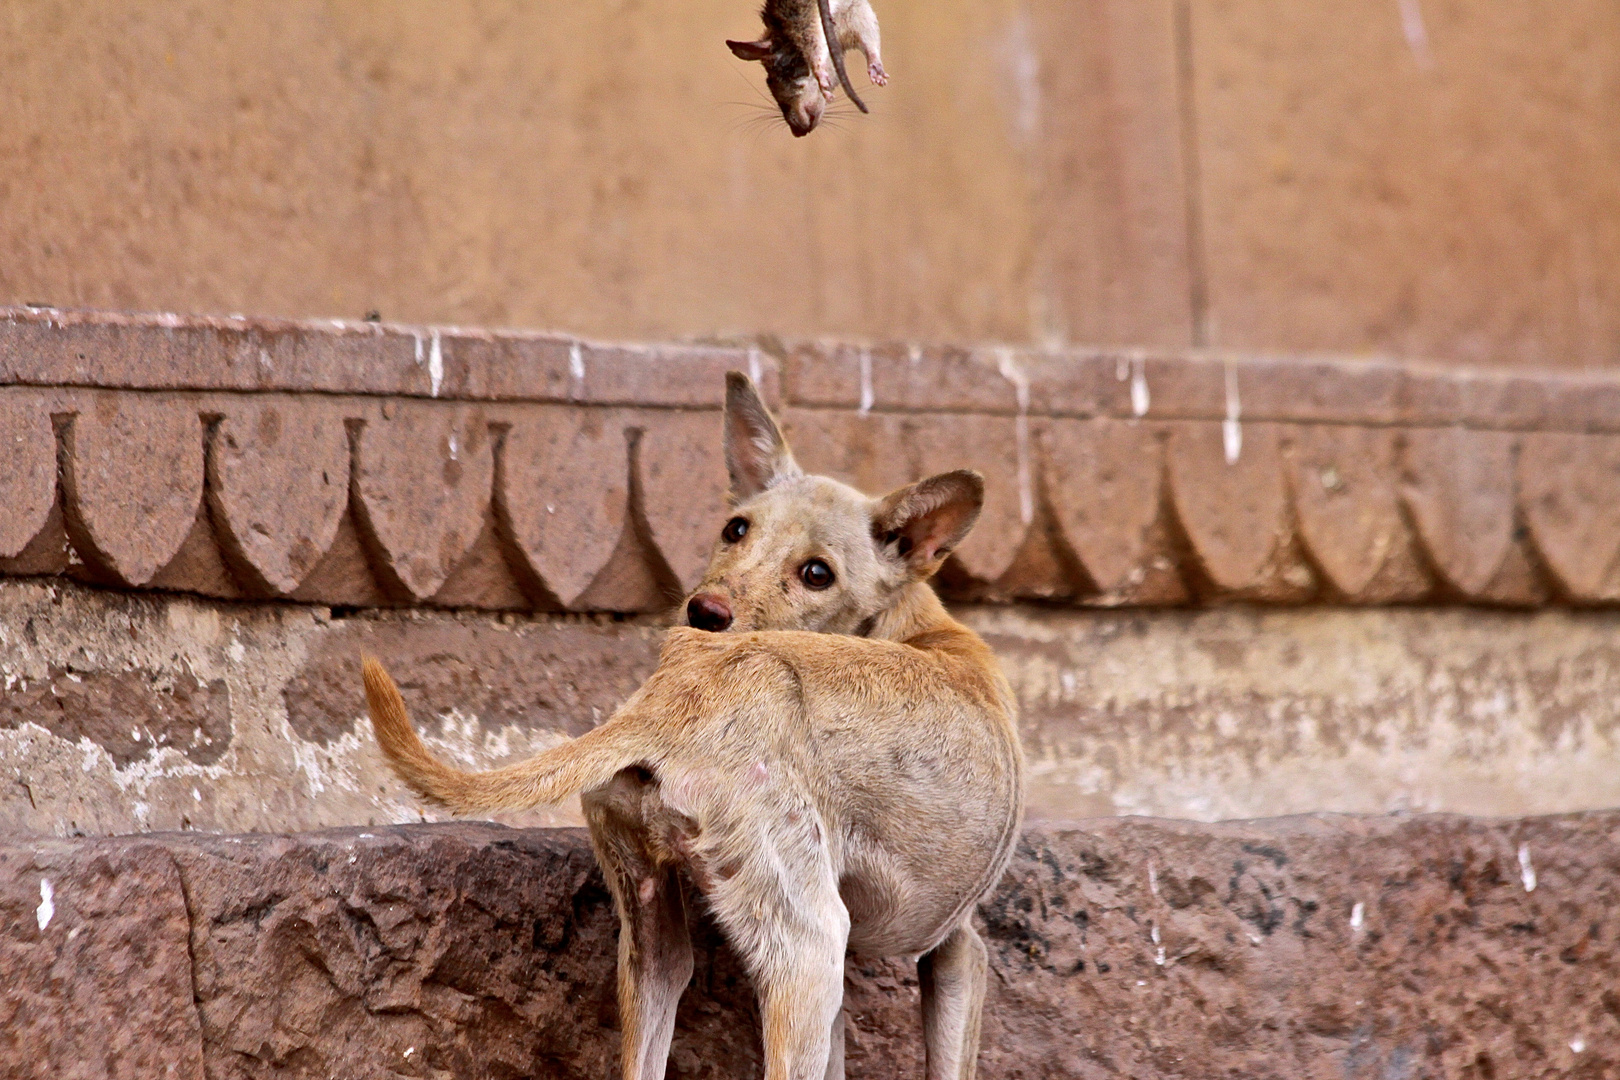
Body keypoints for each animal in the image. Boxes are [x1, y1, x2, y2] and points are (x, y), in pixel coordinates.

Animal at [367, 374, 1023, 1080]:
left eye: (817, 573)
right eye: (735, 529)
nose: (703, 612)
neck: (915, 622)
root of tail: (674, 699)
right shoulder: (959, 949)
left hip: (652, 945)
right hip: (809, 952)